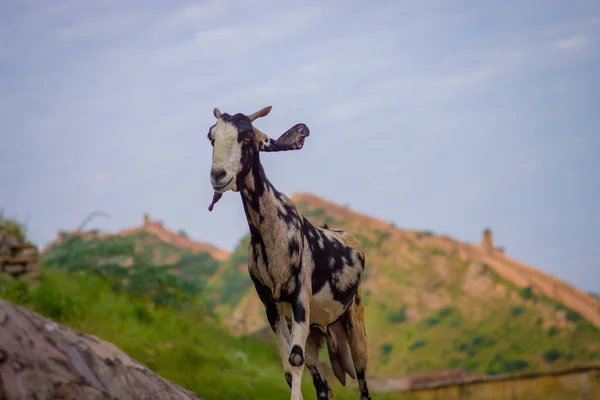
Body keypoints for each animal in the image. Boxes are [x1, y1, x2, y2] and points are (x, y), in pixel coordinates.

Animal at [206, 105, 370, 400]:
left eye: (246, 136)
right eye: (211, 137)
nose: (218, 175)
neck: (275, 232)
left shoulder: (300, 297)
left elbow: (295, 360)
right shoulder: (270, 304)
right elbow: (287, 368)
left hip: (355, 322)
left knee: (363, 381)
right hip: (313, 331)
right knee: (324, 386)